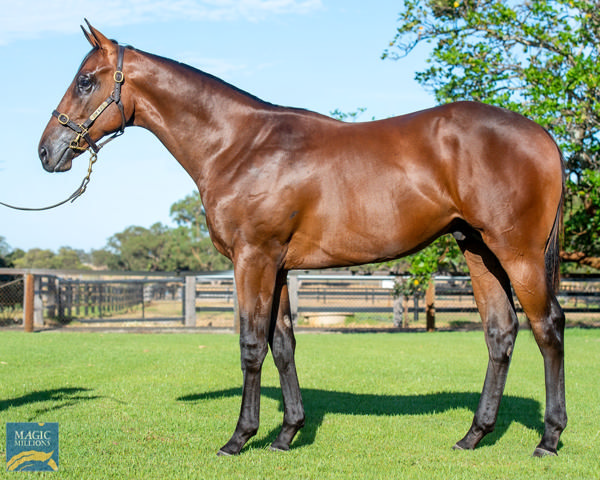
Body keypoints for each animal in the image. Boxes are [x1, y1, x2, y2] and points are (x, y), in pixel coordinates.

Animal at [38, 23, 568, 458]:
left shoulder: (253, 259)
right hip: (478, 250)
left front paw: (240, 438)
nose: (47, 151)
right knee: (500, 332)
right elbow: (283, 344)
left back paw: (549, 438)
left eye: (85, 80)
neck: (239, 145)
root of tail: (542, 134)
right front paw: (288, 433)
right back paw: (474, 435)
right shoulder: (278, 266)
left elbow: (252, 344)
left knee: (549, 327)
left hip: (517, 254)